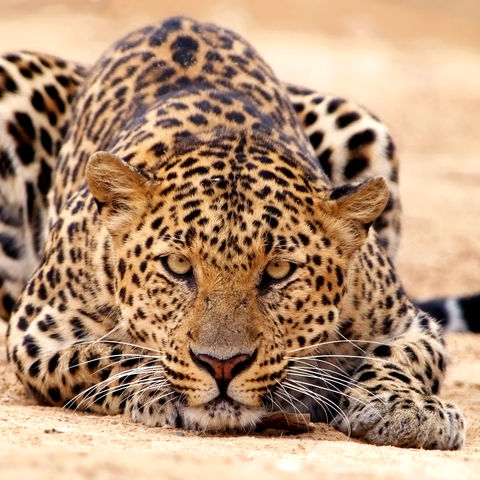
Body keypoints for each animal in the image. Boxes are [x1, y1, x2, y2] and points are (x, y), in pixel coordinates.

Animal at [1, 15, 470, 450]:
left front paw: (409, 408)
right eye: (177, 266)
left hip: (359, 123)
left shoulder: (409, 323)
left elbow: (399, 357)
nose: (222, 365)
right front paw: (157, 388)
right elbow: (107, 355)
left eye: (279, 271)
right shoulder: (38, 333)